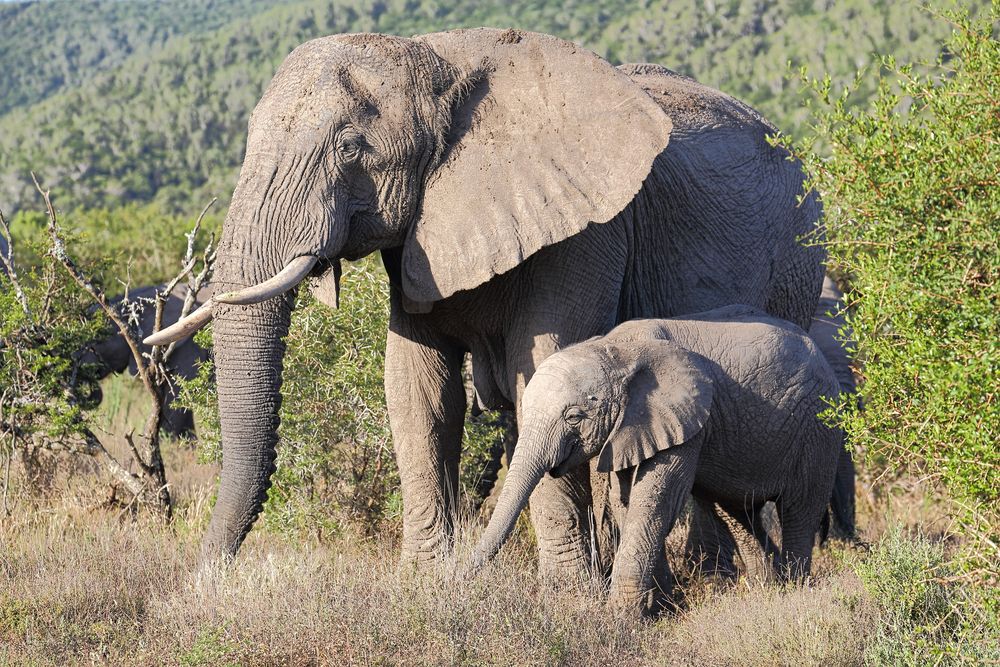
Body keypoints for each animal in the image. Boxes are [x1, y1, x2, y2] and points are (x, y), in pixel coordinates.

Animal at [146, 31, 820, 572]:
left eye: (350, 147)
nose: (208, 575)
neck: (440, 58)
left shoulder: (589, 232)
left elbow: (542, 367)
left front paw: (566, 598)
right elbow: (417, 387)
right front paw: (426, 583)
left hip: (795, 263)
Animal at [474, 306, 844, 616]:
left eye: (574, 417)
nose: (464, 578)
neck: (616, 350)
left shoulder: (686, 417)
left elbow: (654, 500)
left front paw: (621, 619)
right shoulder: (633, 427)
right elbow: (624, 501)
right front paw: (661, 605)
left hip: (819, 431)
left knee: (799, 511)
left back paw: (793, 590)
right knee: (737, 511)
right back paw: (768, 589)